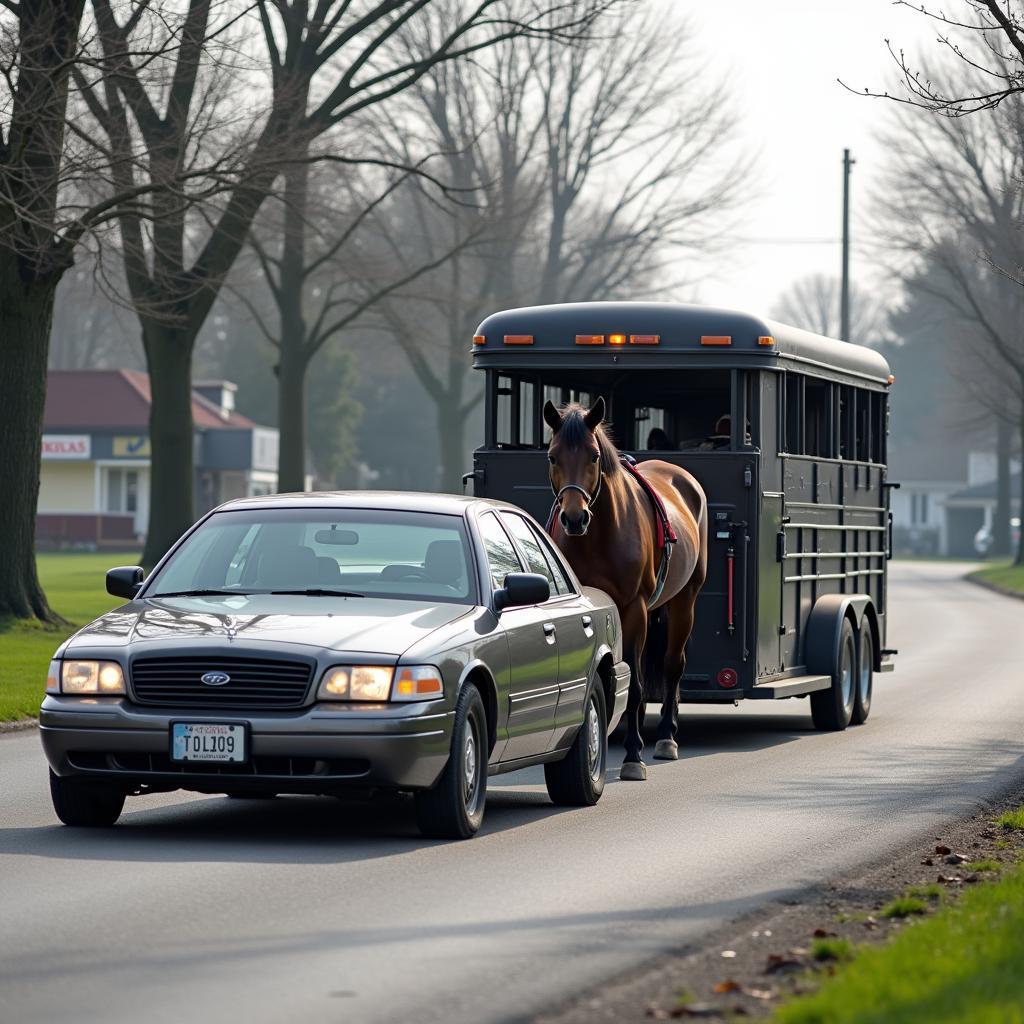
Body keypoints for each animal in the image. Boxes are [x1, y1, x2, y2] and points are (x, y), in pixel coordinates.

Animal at [544, 395, 704, 778]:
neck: (599, 536)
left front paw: (633, 756)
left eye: (594, 456)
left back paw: (666, 738)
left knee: (672, 664)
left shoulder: (633, 608)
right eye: (552, 456)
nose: (574, 518)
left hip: (684, 601)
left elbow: (633, 685)